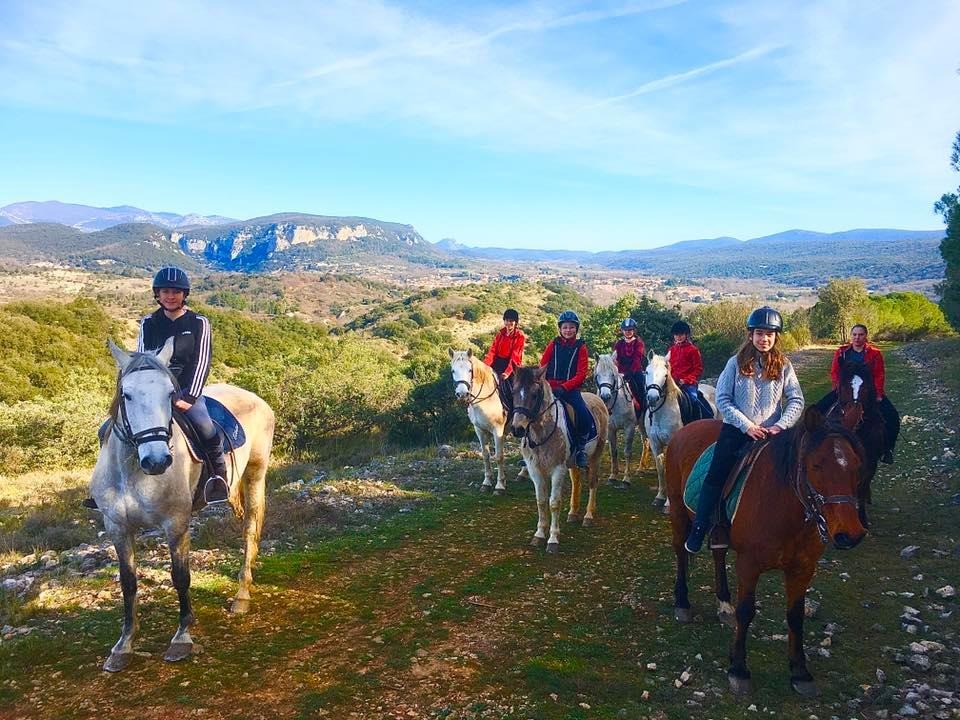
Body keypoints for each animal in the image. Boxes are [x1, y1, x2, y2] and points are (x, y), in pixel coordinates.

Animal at [91, 340, 274, 672]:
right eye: (126, 394)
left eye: (170, 394)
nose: (157, 461)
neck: (133, 471)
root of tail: (253, 397)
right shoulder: (117, 529)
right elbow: (128, 583)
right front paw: (124, 644)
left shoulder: (175, 524)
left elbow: (181, 577)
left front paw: (182, 638)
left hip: (256, 475)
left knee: (249, 532)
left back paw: (242, 595)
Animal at [592, 352, 652, 486]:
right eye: (597, 375)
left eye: (612, 375)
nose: (605, 396)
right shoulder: (610, 429)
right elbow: (613, 451)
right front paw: (613, 476)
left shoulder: (629, 427)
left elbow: (627, 452)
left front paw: (626, 479)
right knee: (645, 441)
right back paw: (641, 468)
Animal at [640, 350, 716, 510]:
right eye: (647, 372)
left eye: (665, 375)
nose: (652, 398)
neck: (662, 413)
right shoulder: (655, 444)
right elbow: (661, 469)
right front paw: (659, 497)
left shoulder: (671, 444)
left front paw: (668, 504)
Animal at [668, 410, 872, 696]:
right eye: (816, 465)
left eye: (856, 465)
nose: (850, 533)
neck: (785, 507)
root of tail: (687, 428)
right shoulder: (748, 566)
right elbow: (746, 612)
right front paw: (738, 670)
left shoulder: (803, 569)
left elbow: (796, 616)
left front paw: (800, 672)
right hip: (678, 511)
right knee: (680, 552)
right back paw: (682, 603)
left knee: (718, 555)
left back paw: (724, 605)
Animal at [824, 358, 884, 524]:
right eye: (844, 385)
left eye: (866, 387)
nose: (854, 414)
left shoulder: (870, 465)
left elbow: (862, 488)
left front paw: (862, 519)